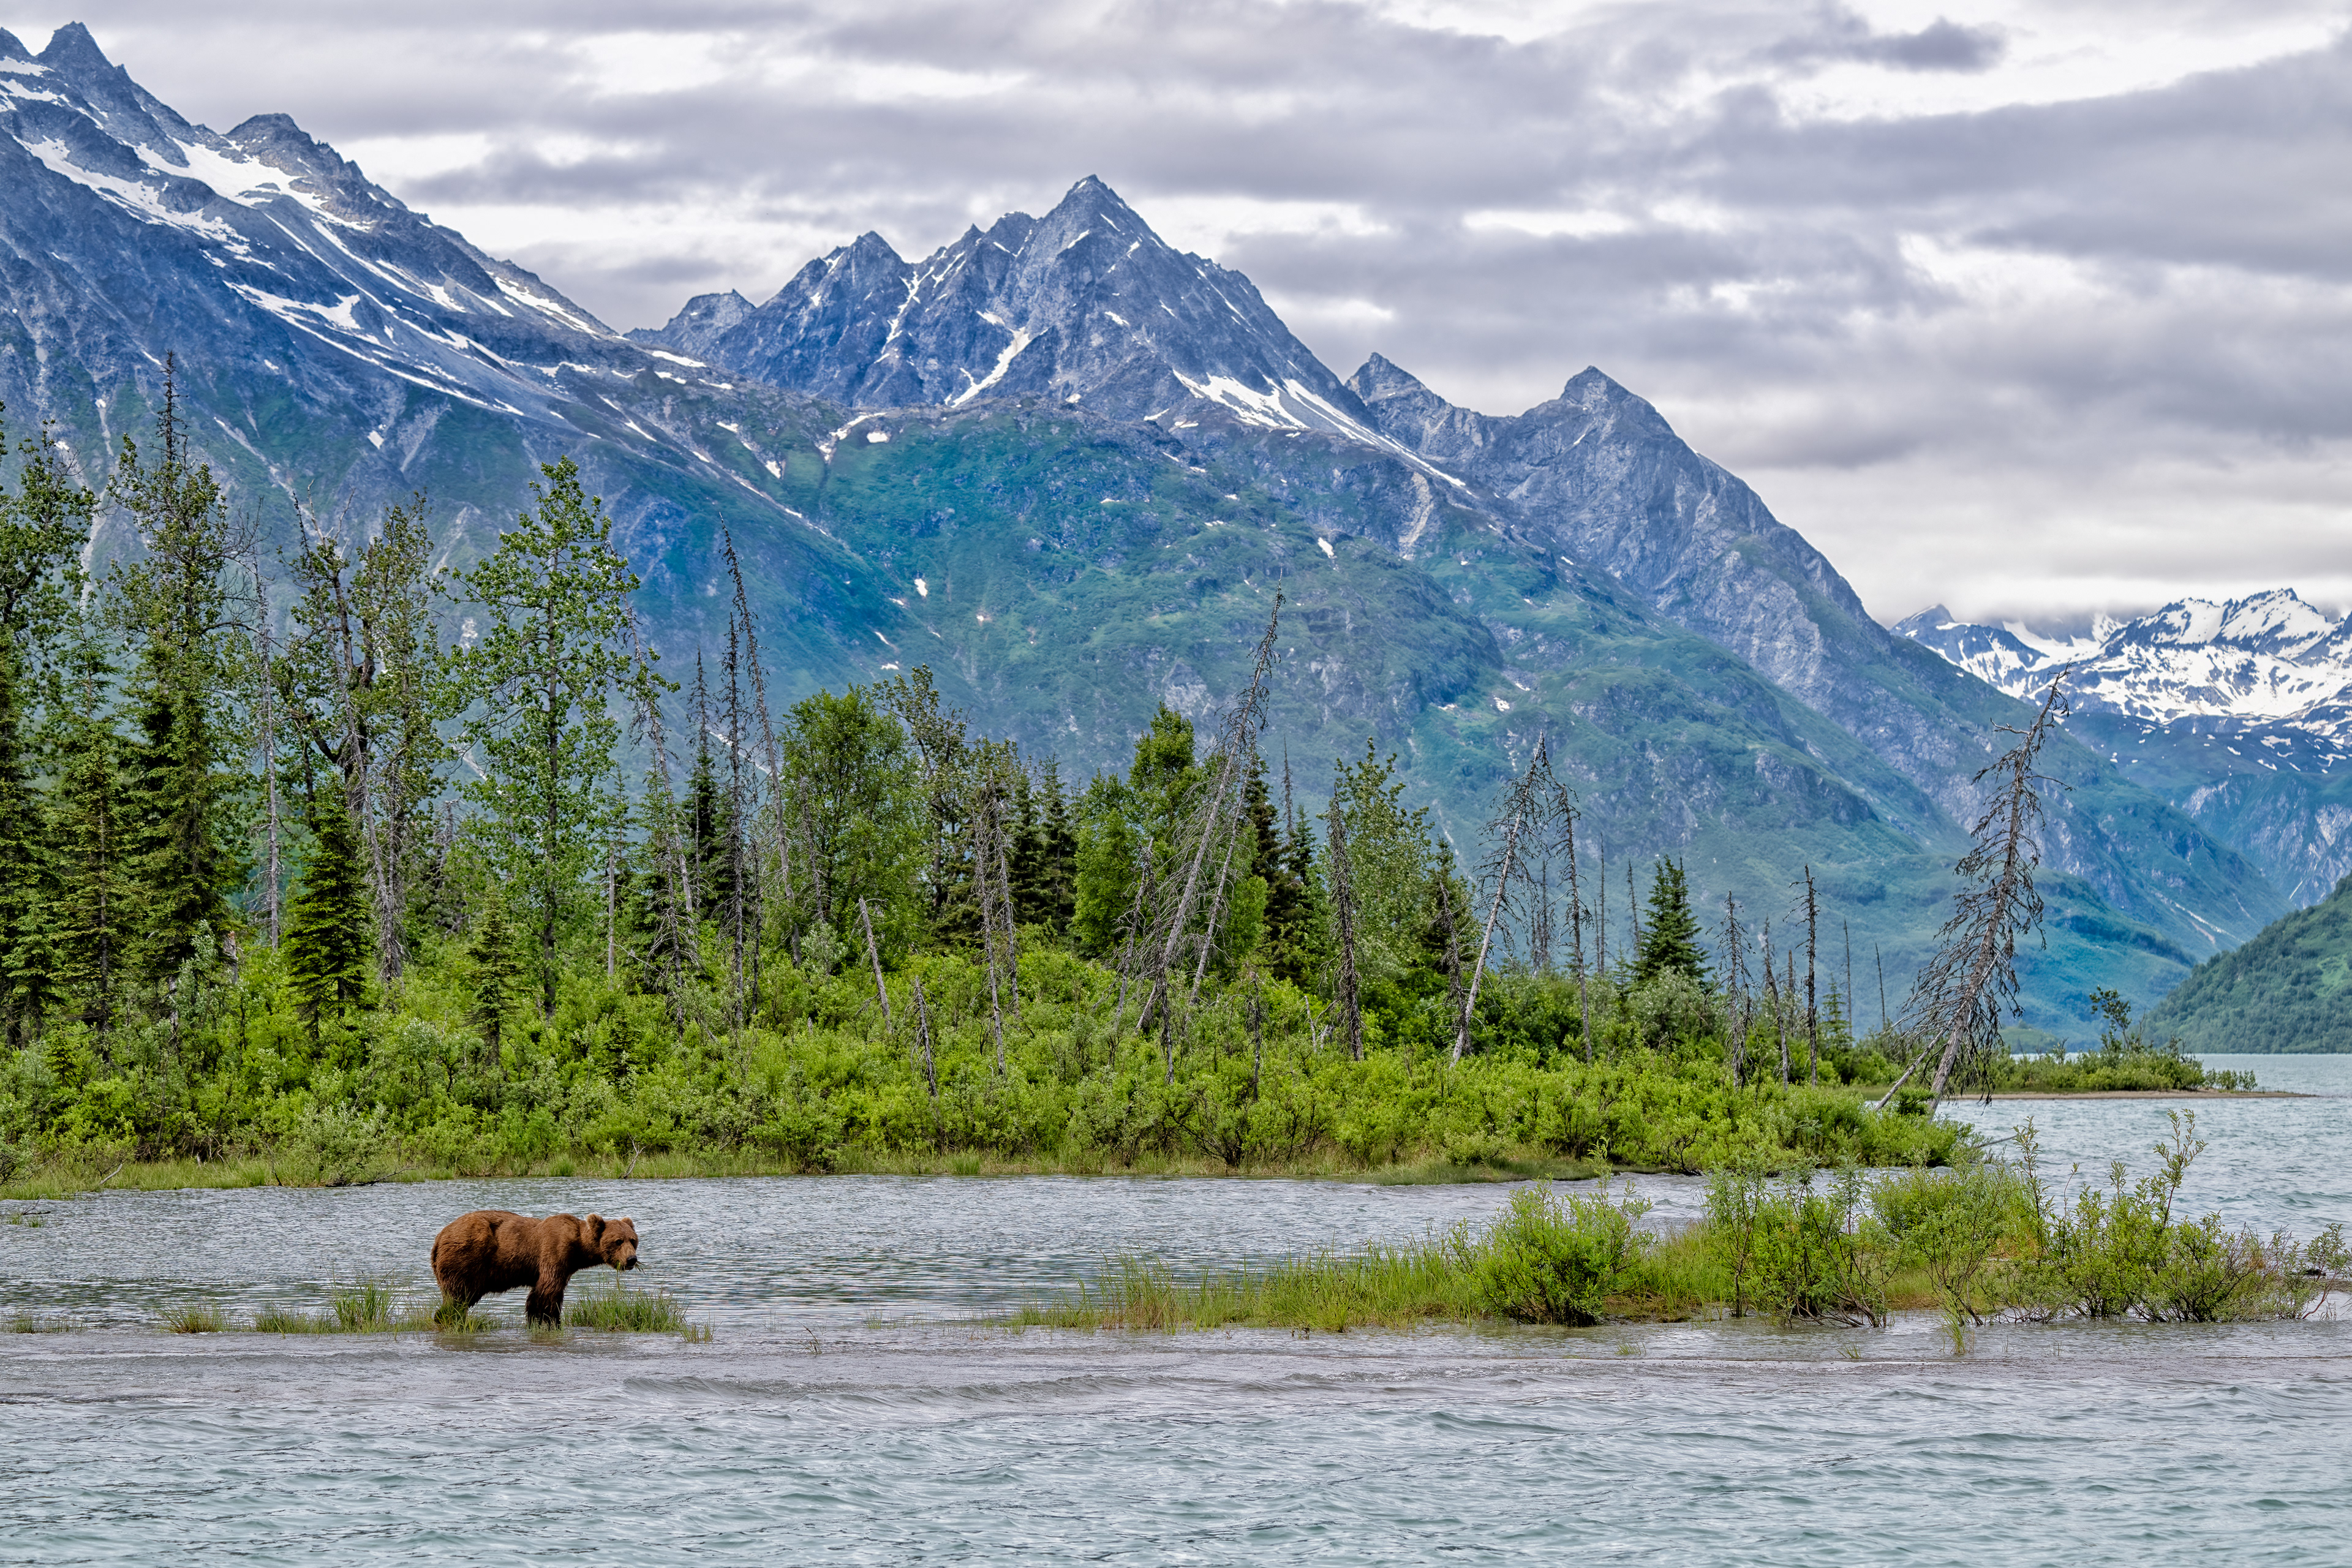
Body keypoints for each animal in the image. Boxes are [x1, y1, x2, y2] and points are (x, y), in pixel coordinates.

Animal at [430, 1209, 640, 1326]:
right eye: (618, 1241)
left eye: (633, 1240)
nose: (631, 1260)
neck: (578, 1249)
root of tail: (439, 1238)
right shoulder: (554, 1251)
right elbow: (549, 1292)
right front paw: (551, 1321)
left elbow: (536, 1296)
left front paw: (535, 1320)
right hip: (466, 1258)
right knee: (459, 1297)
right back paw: (446, 1318)